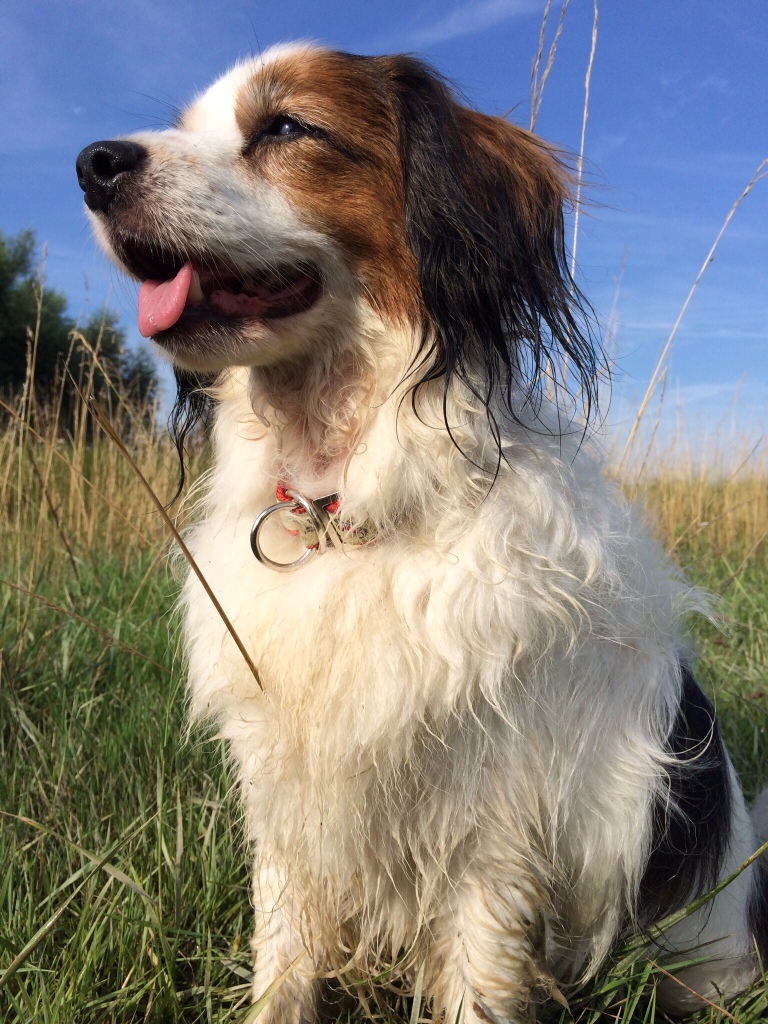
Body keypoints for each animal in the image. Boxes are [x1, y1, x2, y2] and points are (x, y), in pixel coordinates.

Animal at [76, 44, 767, 1022]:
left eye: (286, 127)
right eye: (184, 125)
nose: (93, 164)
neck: (343, 514)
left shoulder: (495, 823)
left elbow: (479, 975)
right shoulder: (286, 795)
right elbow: (283, 954)